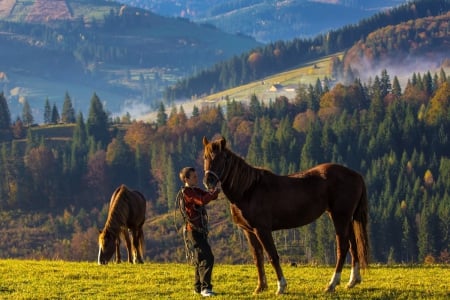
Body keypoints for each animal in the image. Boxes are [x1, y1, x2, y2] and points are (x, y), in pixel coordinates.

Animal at [202, 137, 368, 294]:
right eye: (205, 157)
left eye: (221, 158)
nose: (208, 181)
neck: (249, 189)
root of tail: (356, 175)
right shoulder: (249, 231)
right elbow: (258, 258)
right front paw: (260, 287)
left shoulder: (262, 230)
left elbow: (272, 256)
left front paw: (281, 287)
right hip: (347, 218)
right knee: (353, 245)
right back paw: (352, 281)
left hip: (340, 217)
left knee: (343, 247)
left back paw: (332, 284)